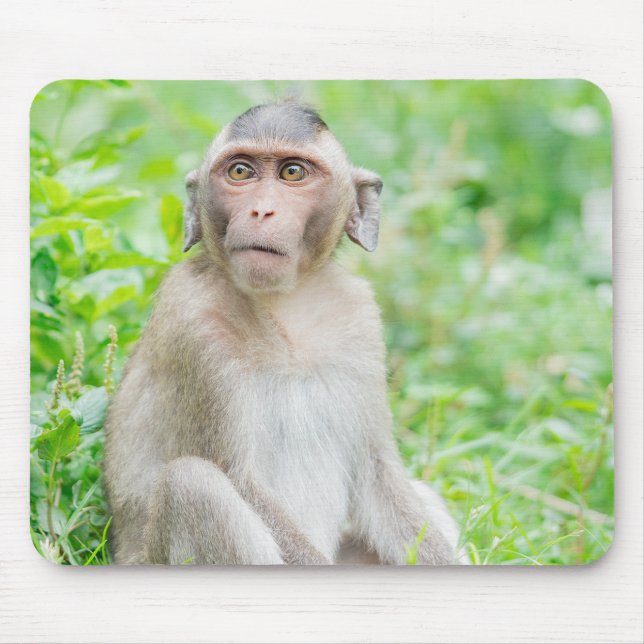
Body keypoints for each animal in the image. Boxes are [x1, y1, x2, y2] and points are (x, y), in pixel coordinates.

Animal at [103, 101, 465, 566]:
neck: (286, 307)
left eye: (293, 173)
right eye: (240, 171)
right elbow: (240, 481)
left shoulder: (361, 318)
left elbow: (379, 475)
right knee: (192, 484)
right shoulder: (192, 323)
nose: (262, 211)